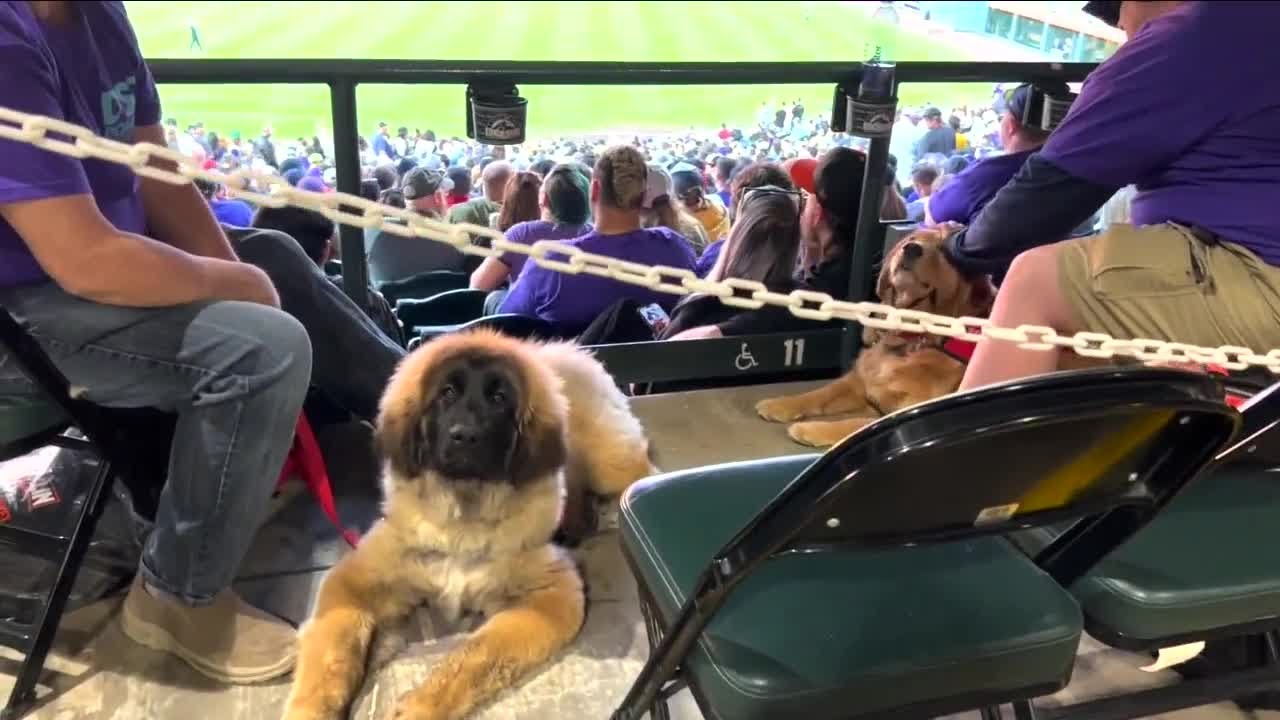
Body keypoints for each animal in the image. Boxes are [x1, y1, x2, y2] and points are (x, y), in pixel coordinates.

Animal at [284, 330, 655, 717]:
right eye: (446, 393)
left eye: (499, 398)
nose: (465, 435)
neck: (463, 515)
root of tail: (561, 350)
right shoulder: (354, 580)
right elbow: (329, 648)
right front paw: (309, 709)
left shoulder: (552, 596)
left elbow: (476, 655)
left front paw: (422, 706)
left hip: (611, 464)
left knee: (642, 472)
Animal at [752, 226, 993, 445]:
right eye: (913, 238)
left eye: (944, 249)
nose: (911, 248)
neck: (906, 340)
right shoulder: (857, 382)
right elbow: (820, 393)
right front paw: (780, 404)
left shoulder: (905, 413)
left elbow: (854, 427)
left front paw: (810, 429)